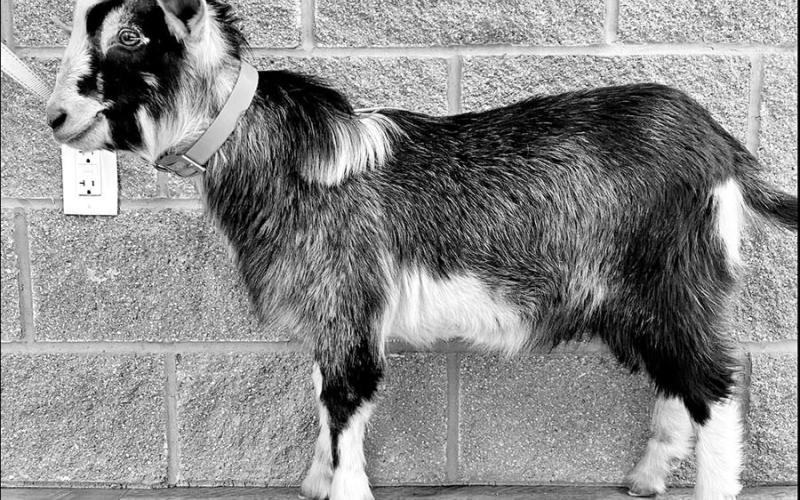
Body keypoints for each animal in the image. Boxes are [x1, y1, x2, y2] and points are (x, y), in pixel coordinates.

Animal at [45, 0, 797, 498]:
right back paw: (644, 478)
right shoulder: (330, 316)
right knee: (680, 384)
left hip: (671, 279)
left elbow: (344, 406)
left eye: (132, 36)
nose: (55, 116)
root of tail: (723, 146)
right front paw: (315, 483)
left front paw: (339, 488)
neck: (268, 150)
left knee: (716, 385)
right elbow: (324, 404)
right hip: (644, 300)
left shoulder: (348, 303)